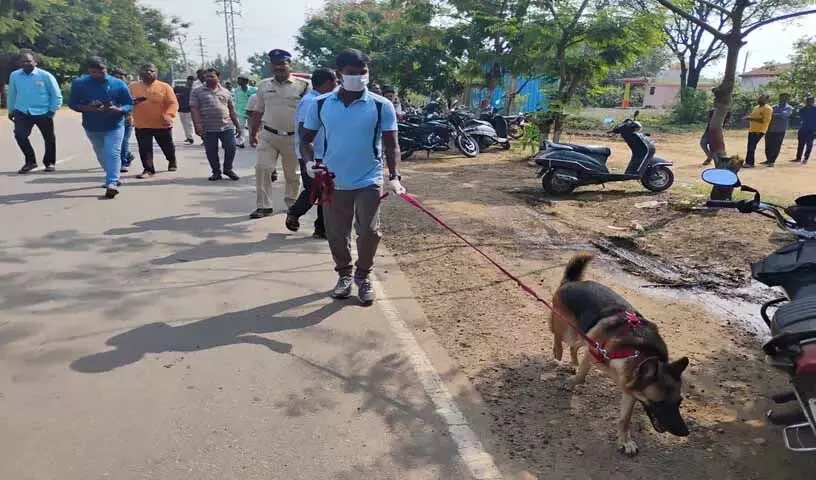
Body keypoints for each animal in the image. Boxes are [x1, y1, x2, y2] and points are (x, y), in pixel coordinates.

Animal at [548, 253, 688, 456]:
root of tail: (571, 282)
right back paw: (557, 353)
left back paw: (573, 363)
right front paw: (572, 382)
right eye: (660, 403)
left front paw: (625, 440)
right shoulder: (593, 353)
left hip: (583, 335)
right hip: (568, 328)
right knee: (557, 336)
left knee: (574, 348)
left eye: (678, 402)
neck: (635, 351)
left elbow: (625, 419)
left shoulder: (630, 390)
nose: (685, 432)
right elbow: (581, 376)